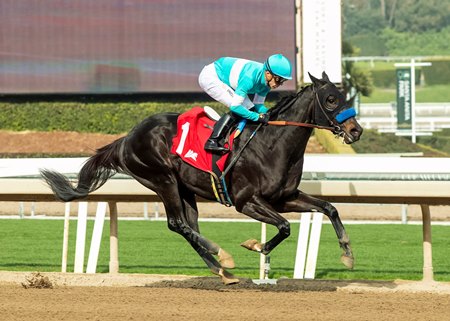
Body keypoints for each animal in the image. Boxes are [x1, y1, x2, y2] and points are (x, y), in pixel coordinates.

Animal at [39, 72, 362, 282]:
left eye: (345, 96)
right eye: (330, 99)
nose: (356, 130)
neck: (272, 144)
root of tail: (127, 138)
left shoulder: (284, 197)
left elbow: (329, 208)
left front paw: (347, 254)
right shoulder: (247, 201)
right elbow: (284, 227)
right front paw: (256, 246)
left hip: (186, 189)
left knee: (189, 226)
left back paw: (222, 270)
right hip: (163, 180)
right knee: (177, 224)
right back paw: (223, 256)